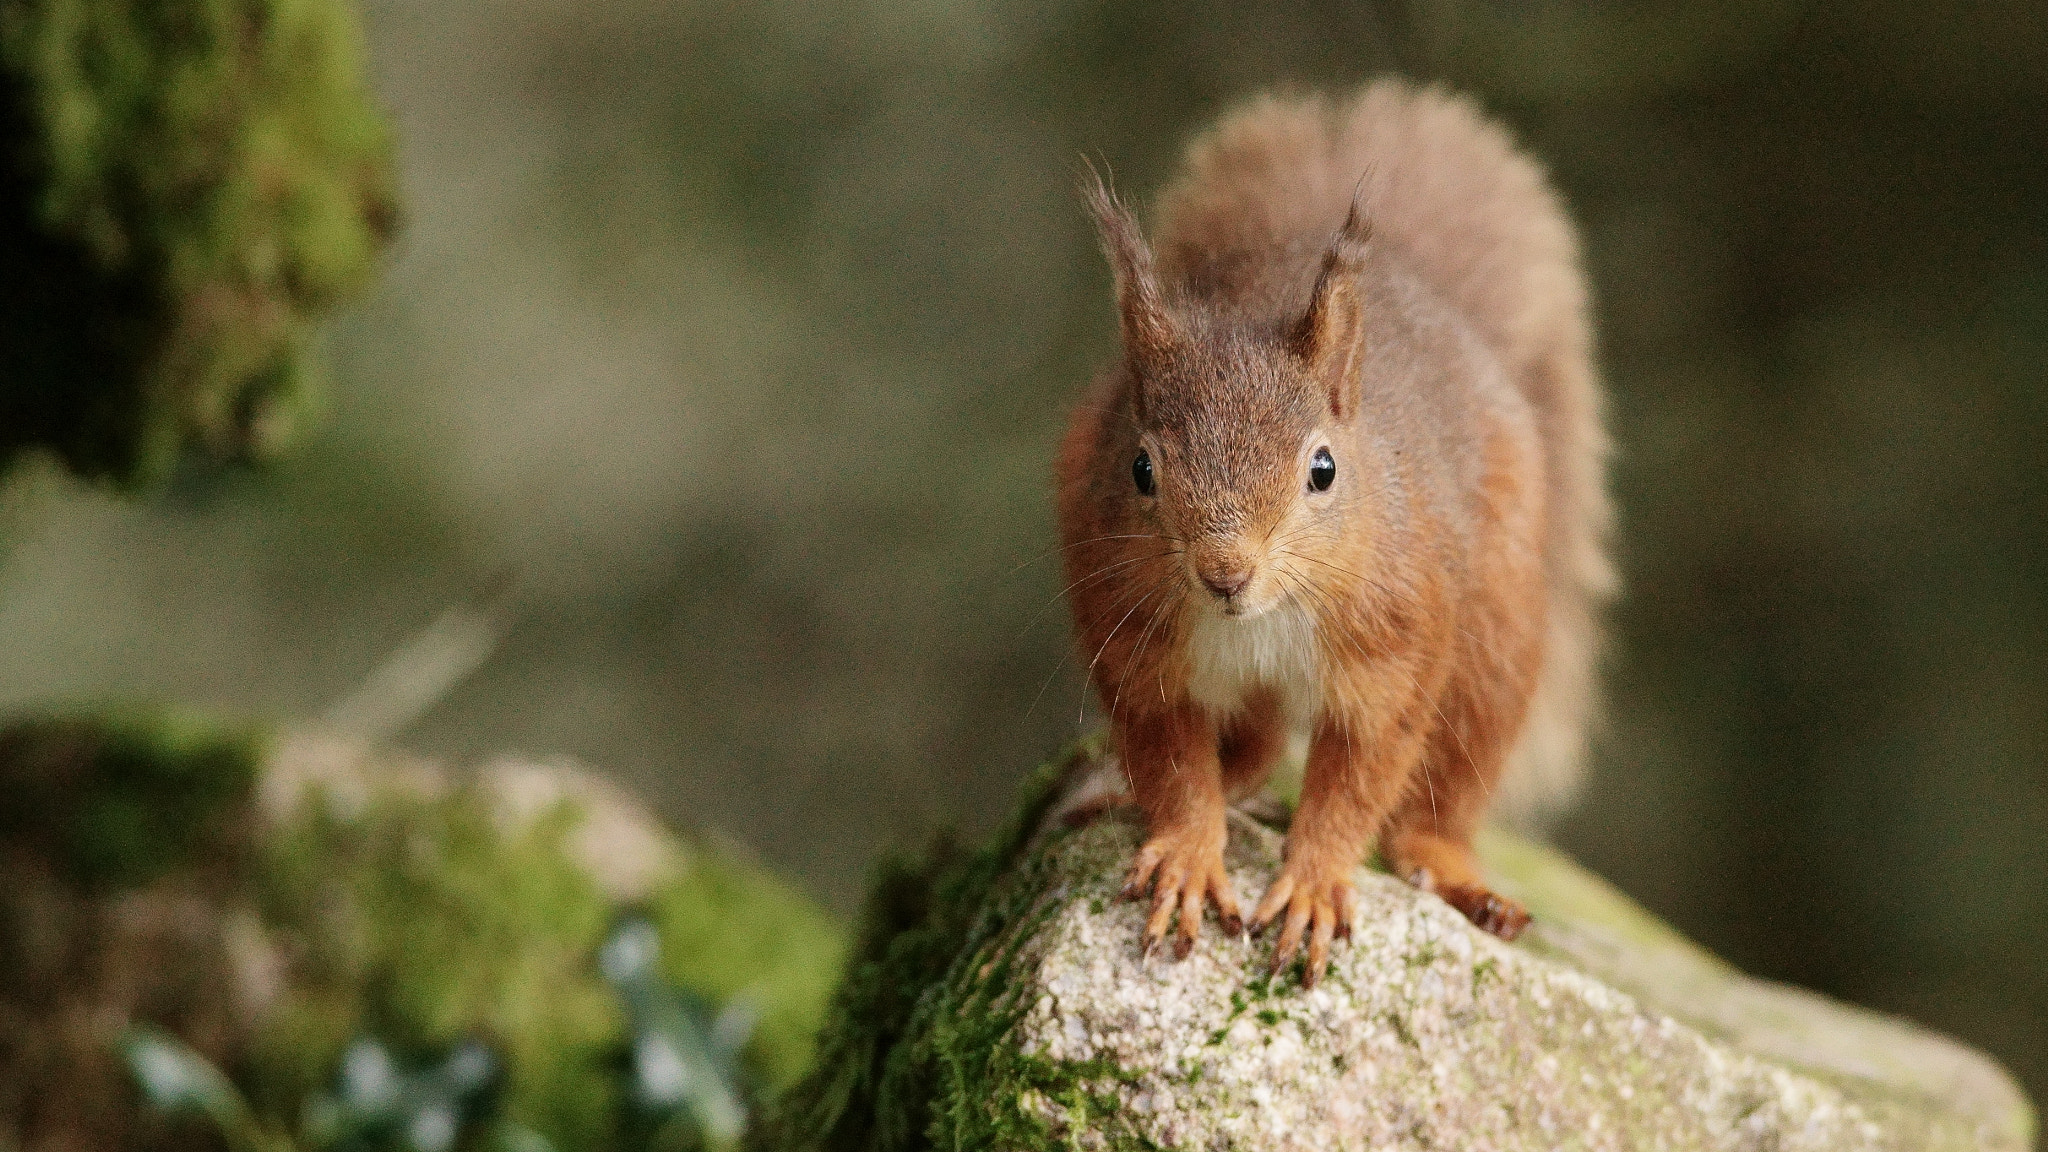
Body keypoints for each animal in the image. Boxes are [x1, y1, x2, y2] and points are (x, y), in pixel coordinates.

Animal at [1056, 78, 1613, 975]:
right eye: (1140, 469)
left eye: (1323, 469)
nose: (1225, 573)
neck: (1263, 617)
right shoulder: (1136, 645)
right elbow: (1172, 763)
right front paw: (1188, 855)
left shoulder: (1395, 648)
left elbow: (1360, 775)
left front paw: (1314, 882)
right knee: (1250, 745)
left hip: (1497, 631)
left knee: (1446, 784)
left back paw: (1455, 873)